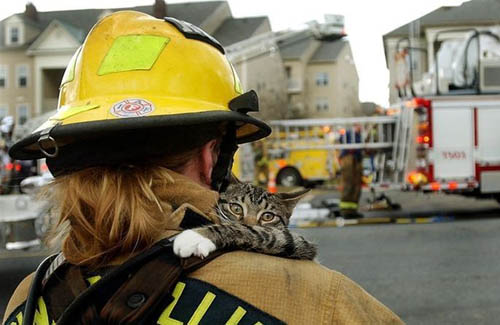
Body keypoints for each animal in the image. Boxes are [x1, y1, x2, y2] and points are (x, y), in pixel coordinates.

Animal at [174, 182, 318, 258]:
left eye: (268, 216)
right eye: (236, 208)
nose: (248, 223)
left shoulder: (299, 243)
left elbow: (259, 232)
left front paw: (196, 237)